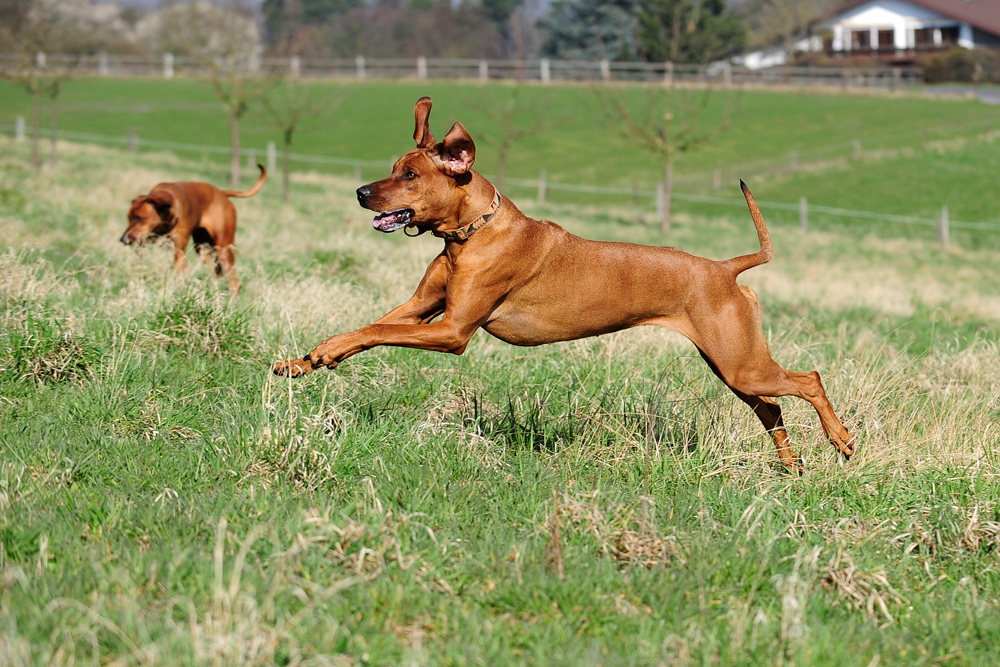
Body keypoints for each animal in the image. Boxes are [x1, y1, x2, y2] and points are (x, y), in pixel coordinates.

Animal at [119, 166, 268, 290]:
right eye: (129, 217)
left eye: (139, 218)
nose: (123, 239)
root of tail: (221, 193)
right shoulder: (142, 244)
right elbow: (138, 261)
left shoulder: (179, 251)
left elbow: (178, 270)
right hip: (203, 249)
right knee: (214, 271)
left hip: (224, 248)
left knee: (235, 282)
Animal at [276, 98, 860, 474]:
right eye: (394, 168)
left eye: (411, 176)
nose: (360, 192)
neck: (472, 232)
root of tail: (725, 268)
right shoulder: (423, 308)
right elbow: (368, 327)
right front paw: (306, 360)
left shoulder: (453, 330)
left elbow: (376, 331)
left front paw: (319, 355)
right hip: (730, 364)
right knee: (773, 409)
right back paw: (792, 467)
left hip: (741, 361)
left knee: (808, 379)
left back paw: (842, 439)